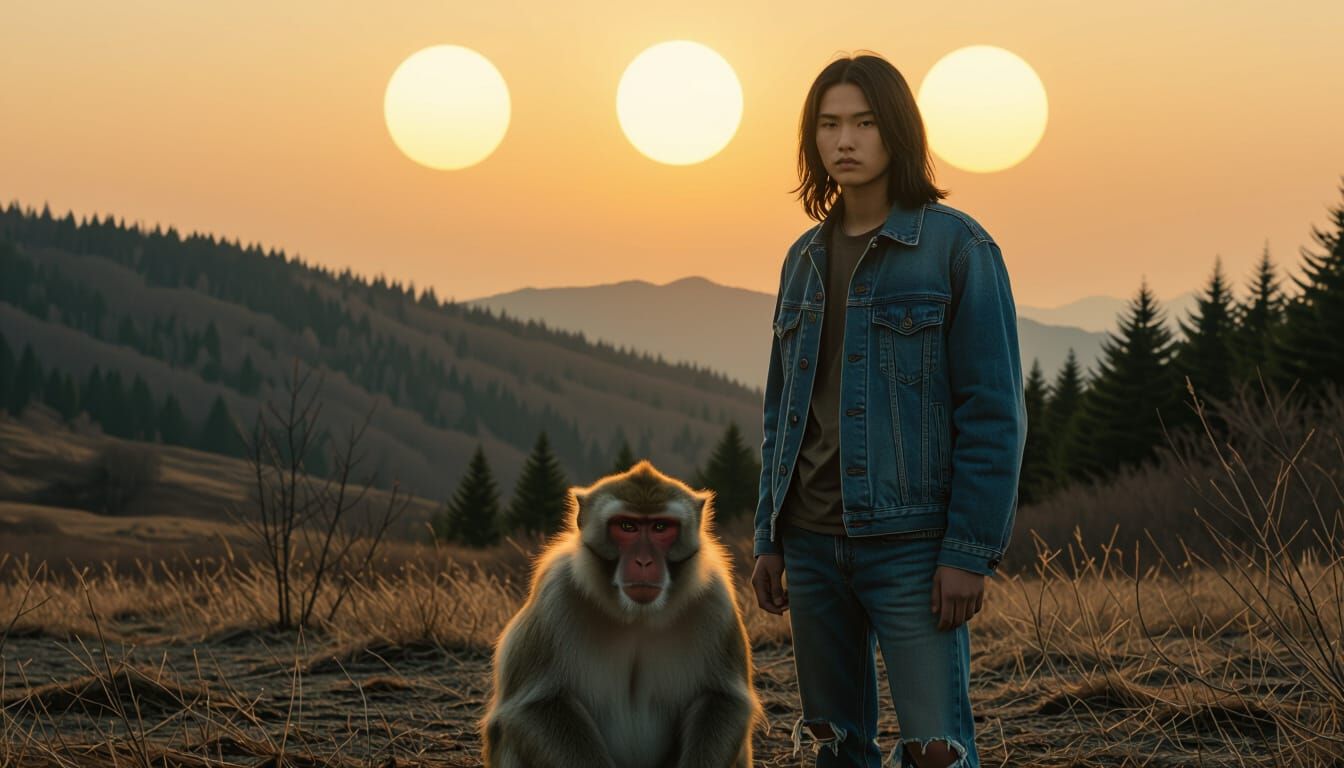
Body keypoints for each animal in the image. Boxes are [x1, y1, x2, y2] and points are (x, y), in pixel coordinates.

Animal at [480, 459, 763, 768]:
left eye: (660, 527)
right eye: (627, 526)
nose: (644, 561)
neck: (637, 614)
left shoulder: (716, 598)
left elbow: (722, 698)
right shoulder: (555, 594)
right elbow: (534, 705)